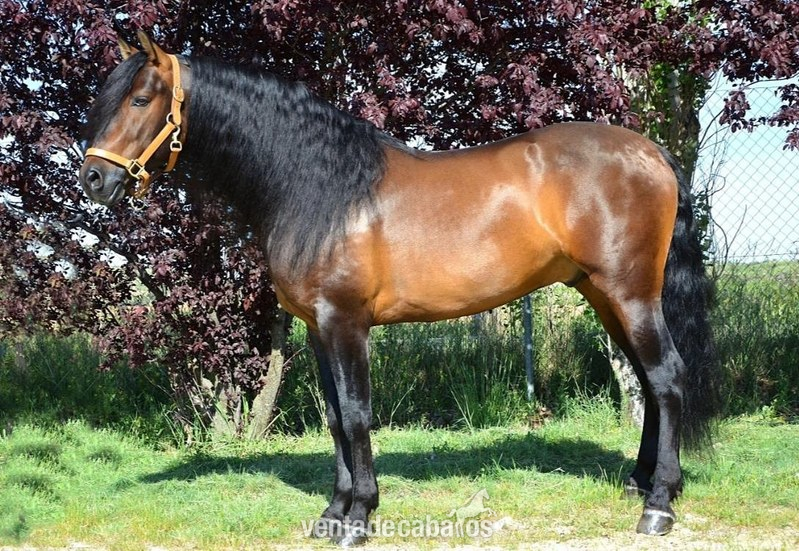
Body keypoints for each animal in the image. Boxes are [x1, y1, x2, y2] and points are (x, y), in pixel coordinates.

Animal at [78, 32, 719, 546]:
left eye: (140, 100)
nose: (92, 178)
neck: (319, 187)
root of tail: (651, 152)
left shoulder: (346, 322)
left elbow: (358, 414)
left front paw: (360, 517)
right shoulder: (318, 329)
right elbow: (335, 417)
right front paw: (333, 513)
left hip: (631, 294)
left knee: (667, 378)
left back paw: (658, 506)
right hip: (603, 295)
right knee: (648, 382)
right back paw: (639, 483)